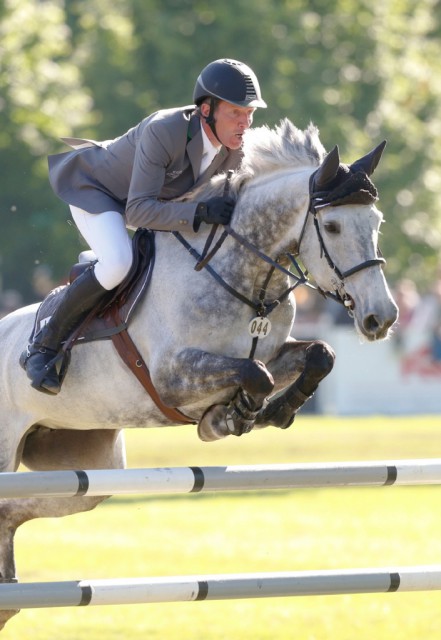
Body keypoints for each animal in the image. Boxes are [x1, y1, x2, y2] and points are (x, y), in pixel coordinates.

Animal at [0, 120, 396, 632]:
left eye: (377, 223)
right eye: (331, 226)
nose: (381, 317)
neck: (244, 278)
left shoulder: (274, 351)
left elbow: (316, 356)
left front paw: (273, 412)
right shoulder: (173, 376)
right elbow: (254, 374)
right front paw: (228, 418)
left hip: (88, 471)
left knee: (12, 510)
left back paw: (9, 597)